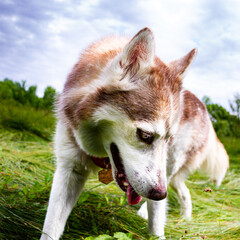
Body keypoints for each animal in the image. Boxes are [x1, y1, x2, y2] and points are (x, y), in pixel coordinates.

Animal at [40, 27, 229, 239]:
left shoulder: (159, 177)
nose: (159, 194)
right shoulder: (69, 169)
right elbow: (51, 228)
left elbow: (156, 225)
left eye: (168, 138)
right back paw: (184, 218)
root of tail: (203, 107)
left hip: (170, 166)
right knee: (183, 192)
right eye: (145, 135)